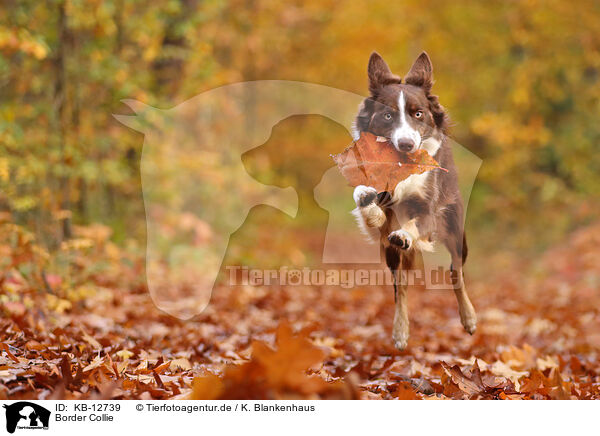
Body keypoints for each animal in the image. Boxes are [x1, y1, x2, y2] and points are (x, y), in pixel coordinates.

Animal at [352, 52, 474, 350]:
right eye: (388, 115)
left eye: (418, 114)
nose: (406, 144)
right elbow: (364, 197)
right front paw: (371, 207)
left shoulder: (427, 210)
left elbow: (414, 224)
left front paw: (404, 233)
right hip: (393, 259)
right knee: (401, 287)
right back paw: (400, 331)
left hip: (456, 229)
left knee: (456, 272)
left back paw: (469, 318)